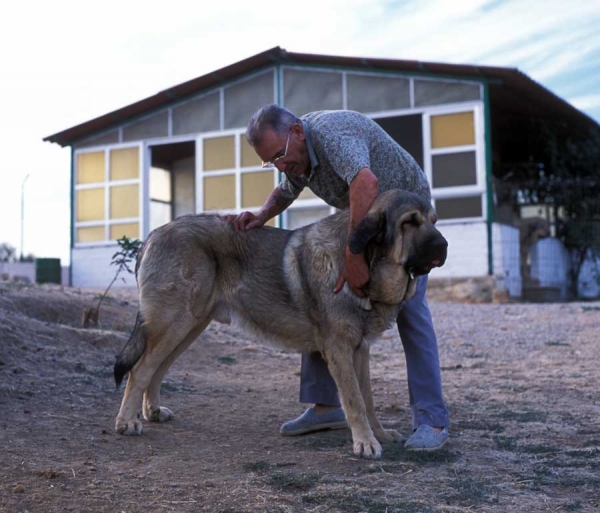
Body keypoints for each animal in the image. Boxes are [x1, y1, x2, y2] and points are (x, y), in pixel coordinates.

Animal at [115, 190, 448, 458]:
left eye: (433, 220)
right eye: (409, 222)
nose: (444, 245)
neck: (364, 262)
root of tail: (153, 234)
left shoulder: (360, 350)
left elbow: (367, 400)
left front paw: (378, 435)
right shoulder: (340, 350)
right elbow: (354, 400)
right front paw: (365, 443)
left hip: (190, 325)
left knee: (156, 368)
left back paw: (151, 411)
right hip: (176, 322)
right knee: (140, 369)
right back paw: (127, 422)